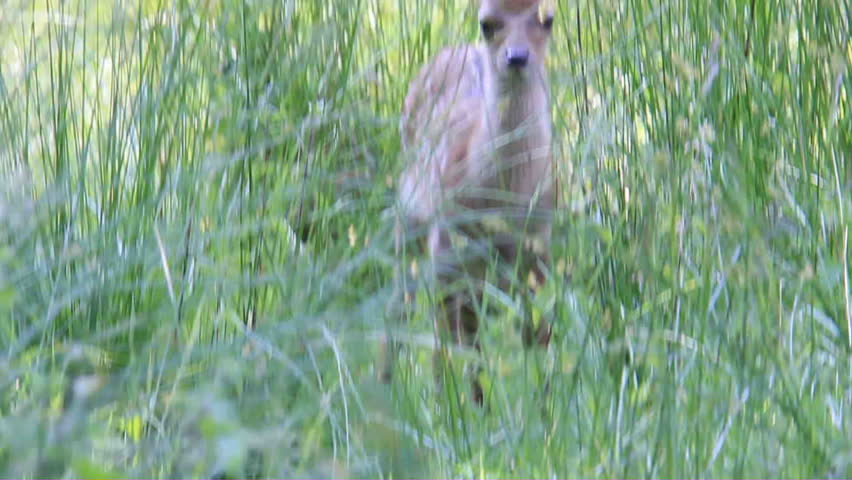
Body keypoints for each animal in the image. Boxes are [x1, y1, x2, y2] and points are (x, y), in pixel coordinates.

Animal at [381, 0, 556, 406]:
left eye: (547, 18)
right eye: (487, 23)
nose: (517, 57)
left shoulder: (540, 247)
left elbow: (538, 336)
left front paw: (547, 408)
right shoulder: (446, 247)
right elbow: (449, 344)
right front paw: (451, 412)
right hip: (411, 222)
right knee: (406, 310)